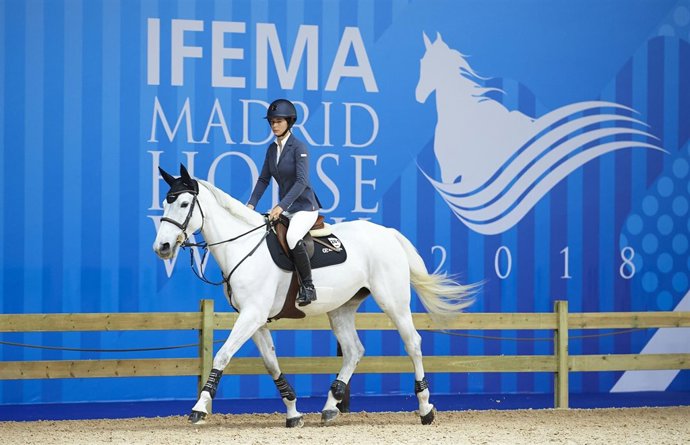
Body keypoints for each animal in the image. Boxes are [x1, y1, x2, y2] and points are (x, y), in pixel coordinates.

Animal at [152, 164, 477, 427]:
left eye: (184, 203)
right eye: (166, 203)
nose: (163, 247)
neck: (242, 245)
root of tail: (387, 233)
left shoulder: (252, 315)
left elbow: (222, 354)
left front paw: (199, 408)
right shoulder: (255, 319)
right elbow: (271, 362)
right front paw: (293, 412)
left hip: (393, 302)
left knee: (413, 343)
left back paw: (425, 408)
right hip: (342, 308)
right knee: (354, 350)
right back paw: (331, 405)